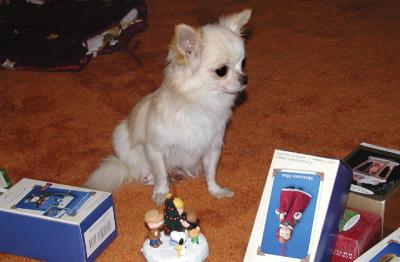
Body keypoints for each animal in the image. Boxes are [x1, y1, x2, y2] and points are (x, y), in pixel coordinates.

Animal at [85, 8, 250, 205]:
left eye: (242, 63)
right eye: (222, 71)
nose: (245, 79)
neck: (201, 102)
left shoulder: (213, 146)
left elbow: (210, 172)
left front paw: (215, 190)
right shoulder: (155, 149)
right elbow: (160, 173)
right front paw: (162, 193)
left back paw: (176, 173)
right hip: (121, 139)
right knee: (139, 173)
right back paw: (153, 177)